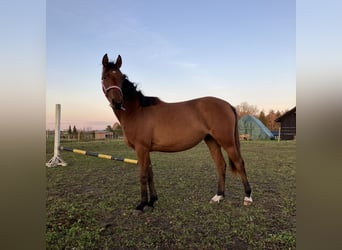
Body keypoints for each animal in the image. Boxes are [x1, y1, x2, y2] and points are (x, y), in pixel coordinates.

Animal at [100, 54, 252, 213]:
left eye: (121, 78)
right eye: (104, 77)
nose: (117, 102)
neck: (137, 111)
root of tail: (228, 105)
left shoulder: (141, 148)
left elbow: (142, 175)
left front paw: (141, 205)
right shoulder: (146, 150)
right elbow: (150, 173)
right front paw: (152, 201)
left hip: (227, 142)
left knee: (239, 163)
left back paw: (247, 197)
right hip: (212, 140)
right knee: (220, 164)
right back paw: (218, 196)